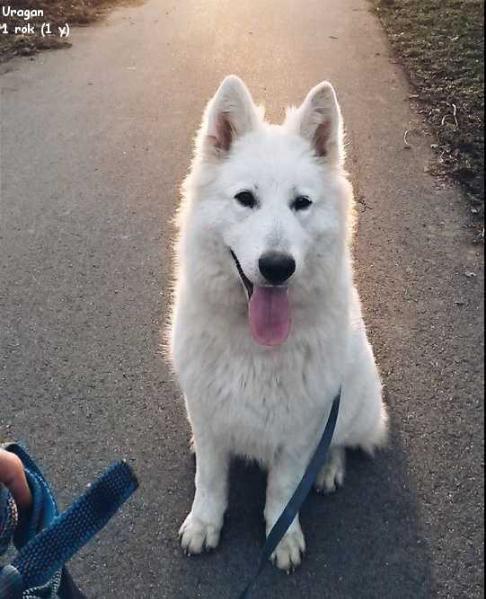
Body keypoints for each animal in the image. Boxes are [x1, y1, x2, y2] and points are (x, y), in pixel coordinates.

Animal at [169, 75, 390, 572]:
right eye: (245, 199)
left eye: (301, 203)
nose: (276, 266)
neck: (255, 346)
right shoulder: (208, 412)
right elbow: (210, 479)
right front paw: (204, 523)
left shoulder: (299, 431)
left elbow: (284, 491)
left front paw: (282, 536)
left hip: (353, 404)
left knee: (340, 441)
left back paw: (327, 468)